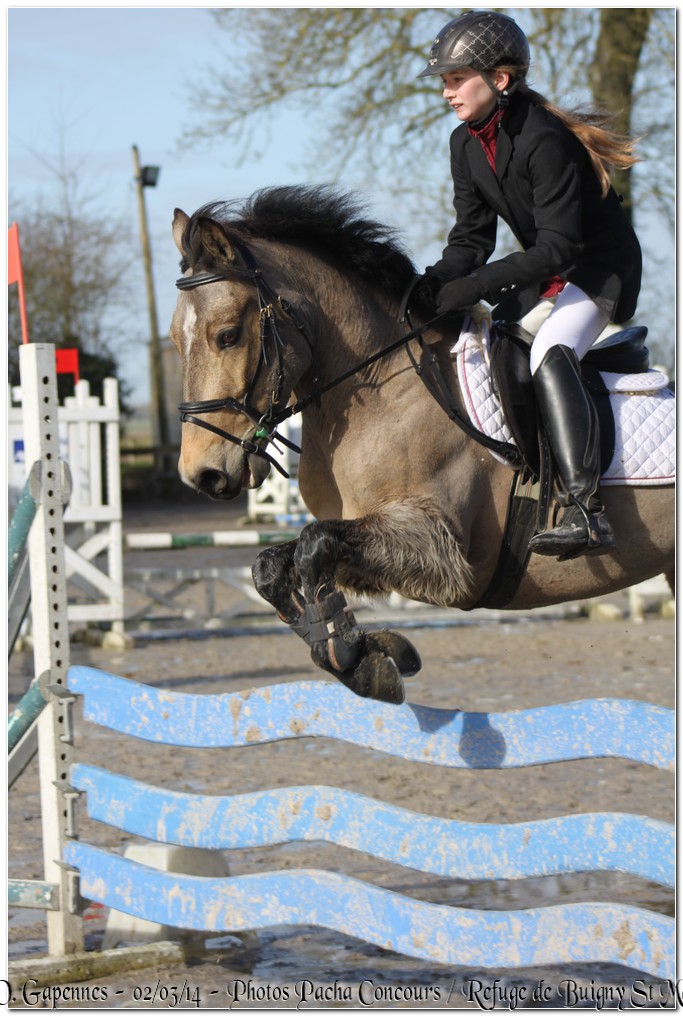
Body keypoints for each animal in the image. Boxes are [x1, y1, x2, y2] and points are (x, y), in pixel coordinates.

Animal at [169, 186, 670, 703]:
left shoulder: (443, 554)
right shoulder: (366, 538)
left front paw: (354, 655)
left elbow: (314, 545)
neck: (381, 384)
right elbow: (272, 565)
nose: (201, 474)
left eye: (228, 335)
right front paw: (361, 653)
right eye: (175, 341)